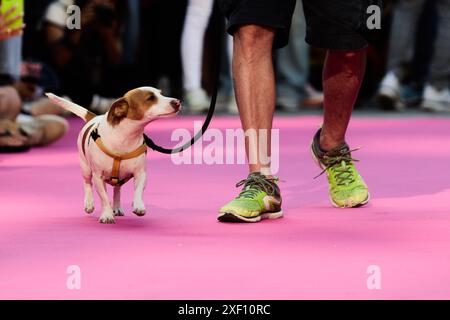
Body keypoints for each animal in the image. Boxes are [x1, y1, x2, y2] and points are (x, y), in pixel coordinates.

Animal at [44, 86, 180, 224]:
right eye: (150, 98)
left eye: (161, 94)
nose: (177, 102)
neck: (126, 136)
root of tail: (93, 117)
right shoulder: (98, 176)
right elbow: (104, 197)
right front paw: (107, 214)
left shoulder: (140, 173)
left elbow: (138, 190)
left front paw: (138, 205)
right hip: (86, 168)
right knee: (87, 183)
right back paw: (89, 203)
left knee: (117, 189)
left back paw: (117, 207)